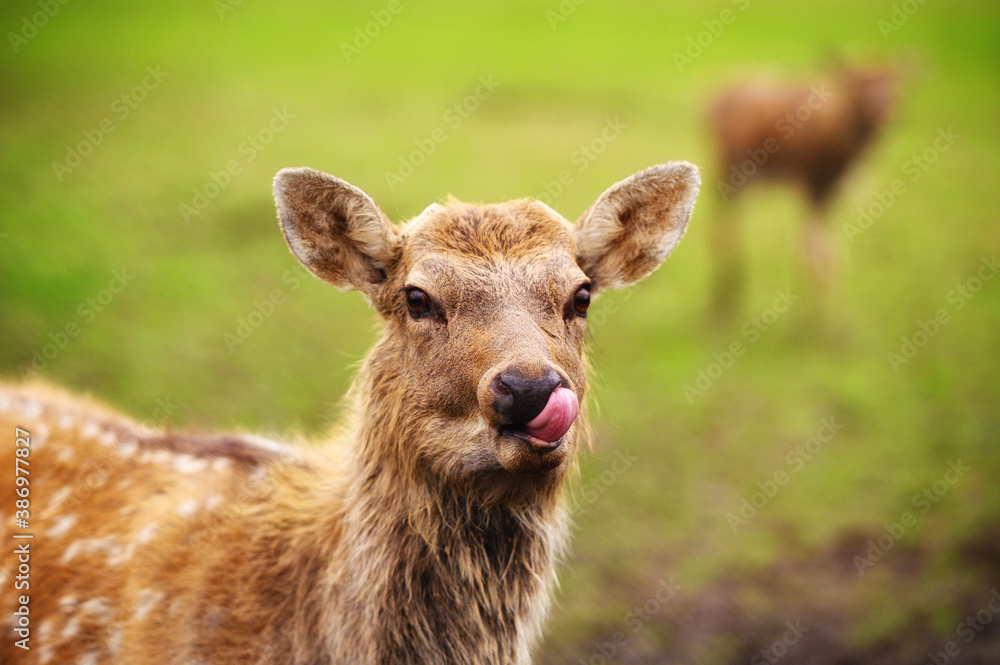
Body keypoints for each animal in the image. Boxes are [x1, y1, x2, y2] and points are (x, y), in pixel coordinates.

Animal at [708, 63, 897, 317]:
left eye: (896, 86)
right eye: (859, 90)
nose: (888, 116)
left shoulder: (818, 190)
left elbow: (817, 249)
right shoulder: (812, 184)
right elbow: (817, 251)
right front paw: (818, 312)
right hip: (731, 172)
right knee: (722, 226)